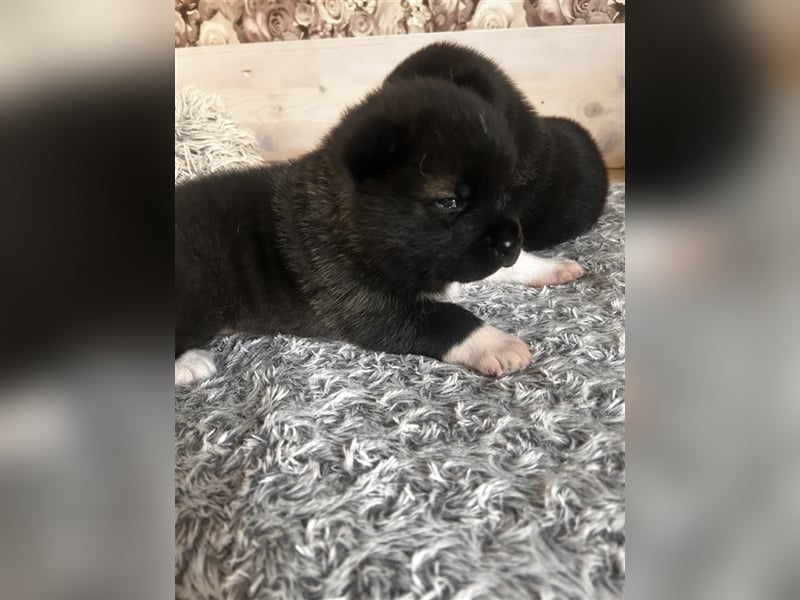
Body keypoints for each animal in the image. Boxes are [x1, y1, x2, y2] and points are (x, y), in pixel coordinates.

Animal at [174, 77, 532, 384]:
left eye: (505, 190)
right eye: (449, 202)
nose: (509, 242)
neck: (354, 227)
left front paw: (541, 267)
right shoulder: (368, 308)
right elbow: (448, 318)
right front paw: (498, 344)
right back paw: (189, 363)